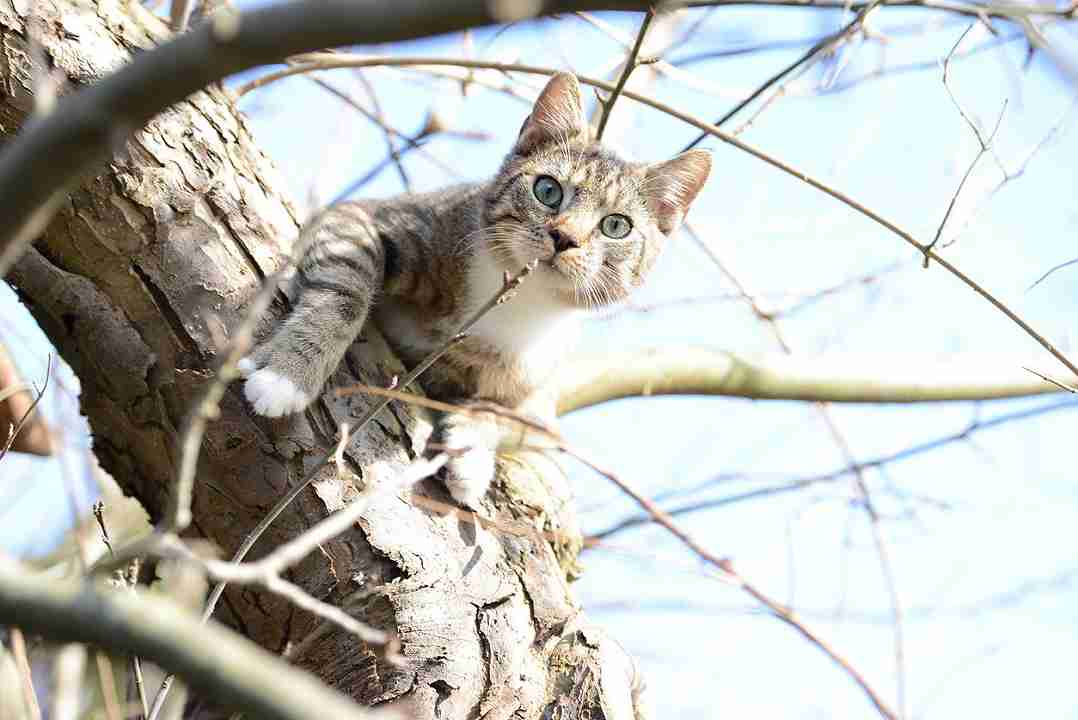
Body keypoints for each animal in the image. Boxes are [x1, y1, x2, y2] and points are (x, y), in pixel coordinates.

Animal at [242, 74, 715, 506]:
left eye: (616, 225)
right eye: (547, 189)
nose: (564, 238)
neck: (517, 301)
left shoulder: (533, 388)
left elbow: (499, 410)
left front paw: (471, 454)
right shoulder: (365, 216)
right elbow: (344, 290)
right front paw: (287, 375)